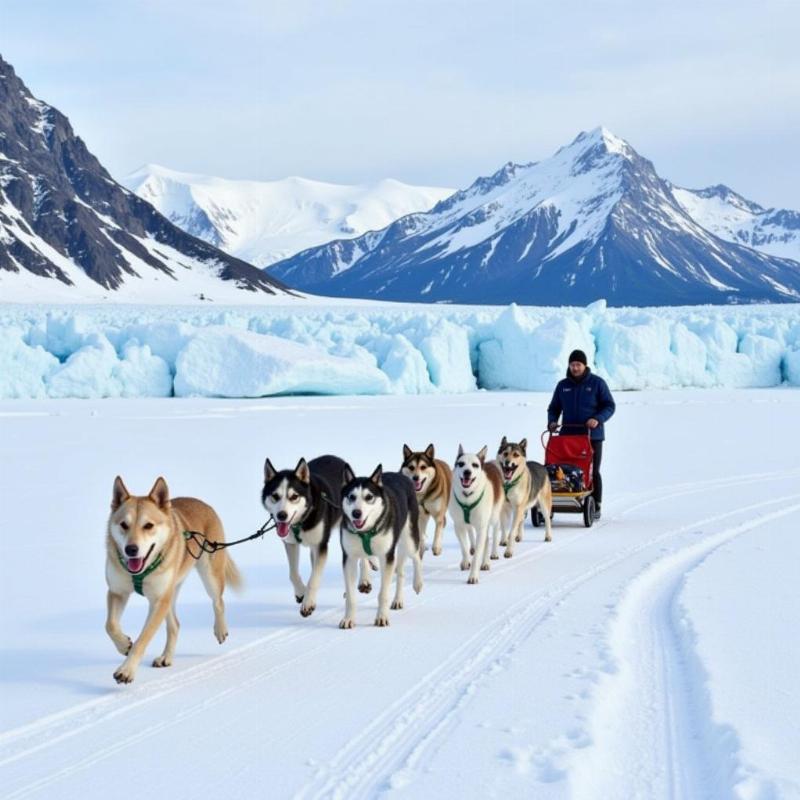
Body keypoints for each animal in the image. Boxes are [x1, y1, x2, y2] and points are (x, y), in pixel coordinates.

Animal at [104, 478, 241, 684]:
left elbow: (142, 640)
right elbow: (110, 625)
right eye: (123, 525)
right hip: (170, 593)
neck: (141, 571)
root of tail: (203, 503)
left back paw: (220, 629)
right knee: (175, 625)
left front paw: (126, 670)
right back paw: (166, 657)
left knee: (218, 601)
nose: (131, 549)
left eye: (148, 525)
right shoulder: (117, 592)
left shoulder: (158, 600)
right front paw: (123, 645)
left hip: (208, 574)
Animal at [450, 444, 500, 580]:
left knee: (492, 535)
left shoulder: (481, 526)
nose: (467, 472)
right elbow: (464, 546)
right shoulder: (459, 525)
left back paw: (489, 558)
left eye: (475, 465)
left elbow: (478, 554)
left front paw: (473, 575)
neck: (468, 496)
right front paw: (466, 561)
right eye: (461, 464)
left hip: (493, 518)